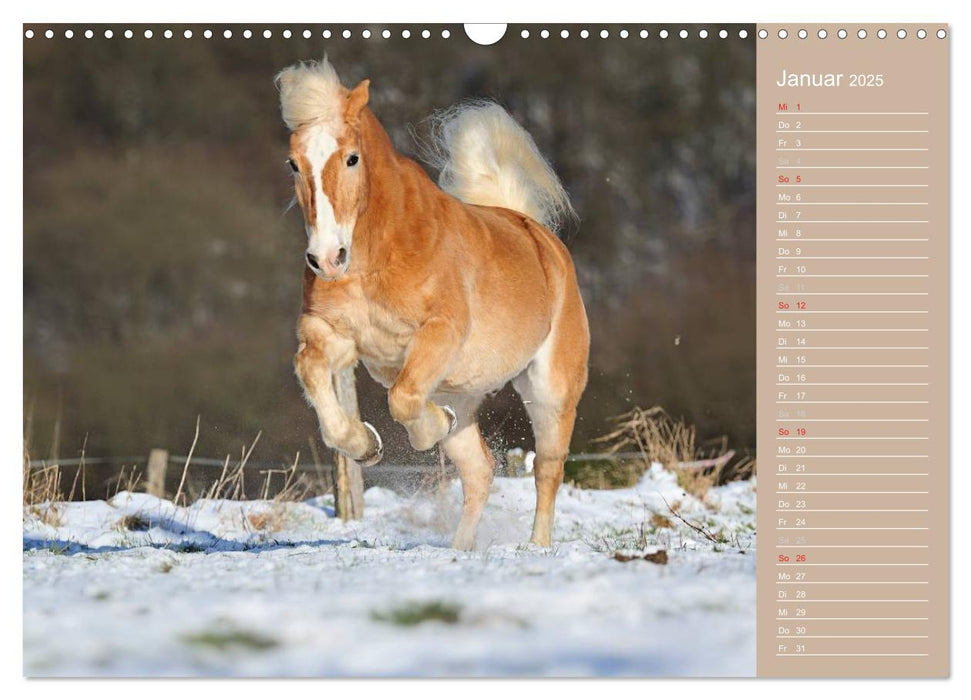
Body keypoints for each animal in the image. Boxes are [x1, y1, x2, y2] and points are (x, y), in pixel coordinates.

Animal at [278, 57, 588, 548]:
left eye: (351, 158)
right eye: (294, 163)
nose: (326, 258)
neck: (374, 257)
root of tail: (537, 234)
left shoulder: (440, 332)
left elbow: (403, 401)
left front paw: (433, 424)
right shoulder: (331, 336)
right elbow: (319, 387)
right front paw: (368, 445)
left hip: (550, 390)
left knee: (547, 469)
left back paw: (537, 547)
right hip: (459, 389)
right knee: (479, 471)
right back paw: (460, 549)